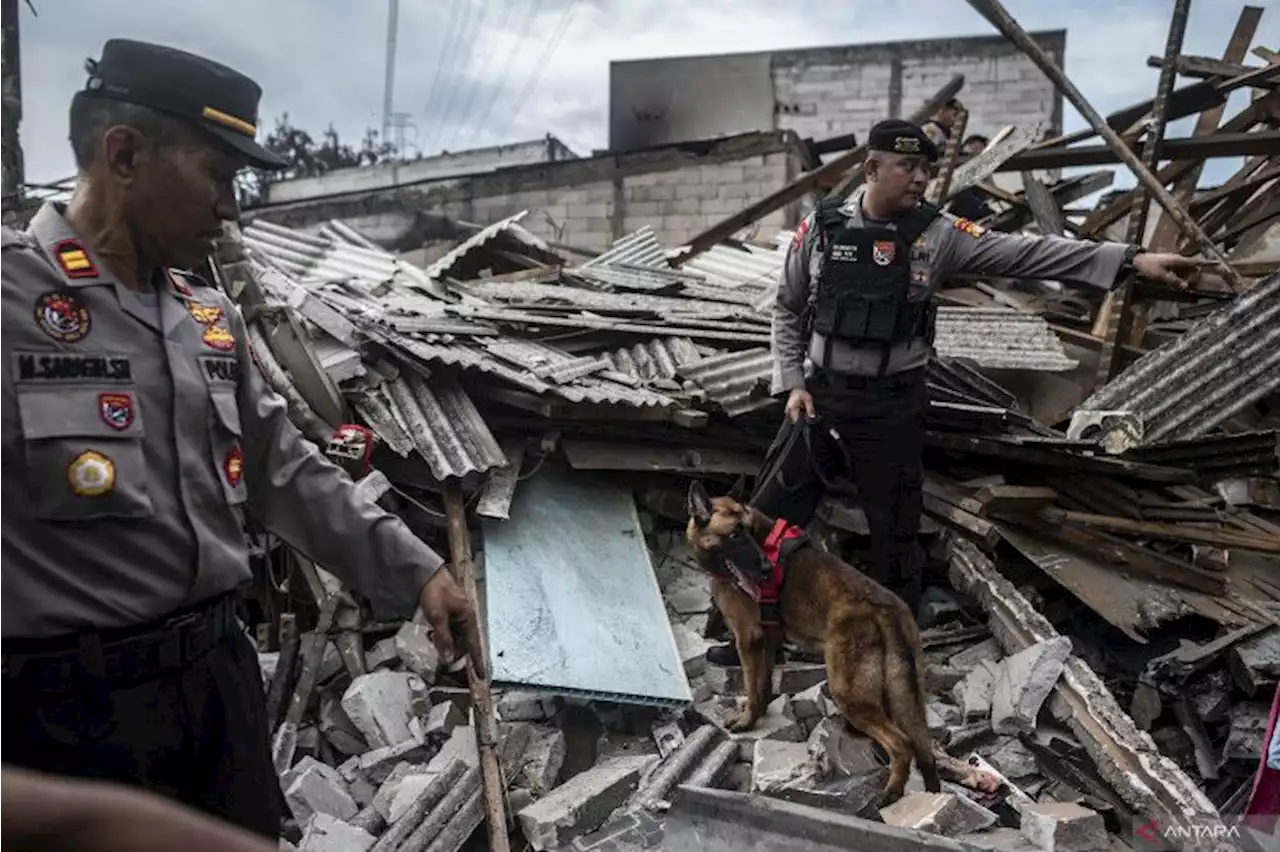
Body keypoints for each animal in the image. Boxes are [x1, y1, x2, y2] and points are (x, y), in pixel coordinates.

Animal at [686, 478, 947, 803]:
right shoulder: (768, 640)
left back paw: (891, 792)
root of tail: (886, 609)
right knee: (923, 748)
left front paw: (746, 721)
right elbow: (762, 686)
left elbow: (751, 686)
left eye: (748, 530)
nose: (766, 569)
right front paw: (759, 715)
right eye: (734, 535)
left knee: (901, 743)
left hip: (848, 693)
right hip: (904, 697)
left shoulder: (748, 639)